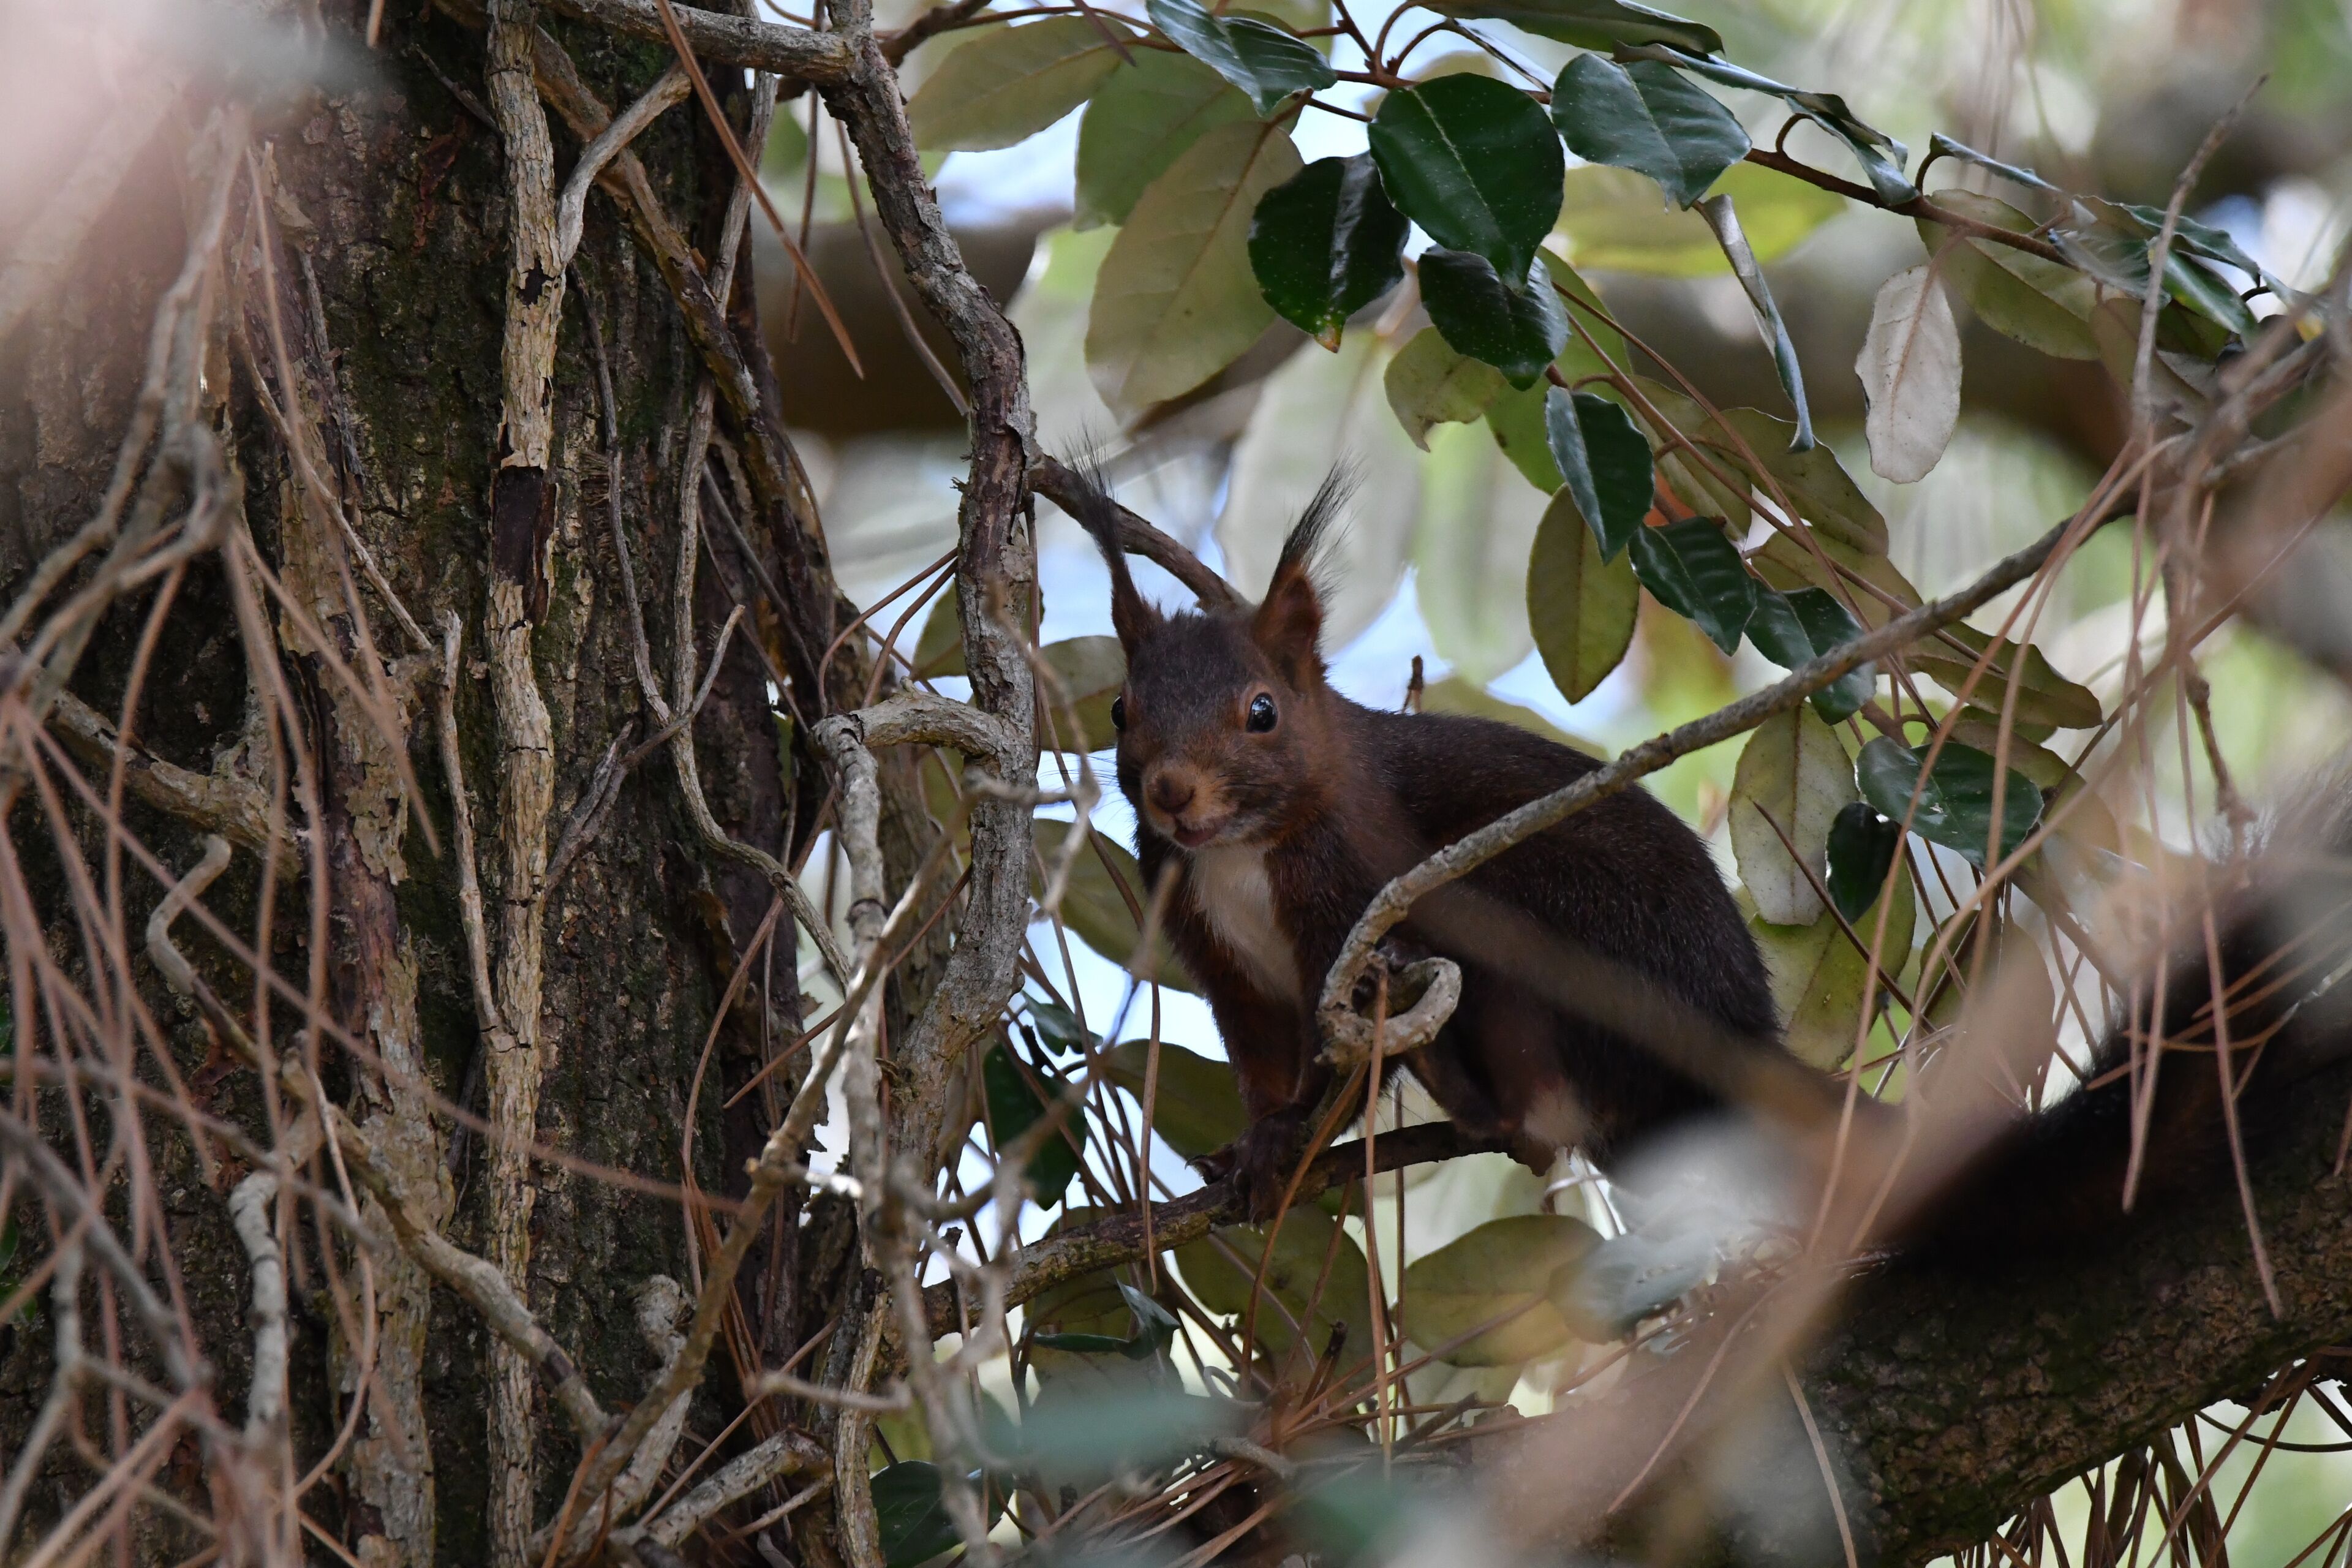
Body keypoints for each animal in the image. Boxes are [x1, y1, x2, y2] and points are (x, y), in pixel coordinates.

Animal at [1065, 469, 2352, 1254]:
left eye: (1263, 712)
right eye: (1123, 709)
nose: (1171, 793)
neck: (1243, 852)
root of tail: (1729, 1039)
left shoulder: (1356, 902)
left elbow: (1341, 1061)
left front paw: (1293, 1142)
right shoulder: (1219, 952)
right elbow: (1262, 1057)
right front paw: (1248, 1149)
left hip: (1551, 944)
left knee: (1529, 1105)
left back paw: (1479, 1100)